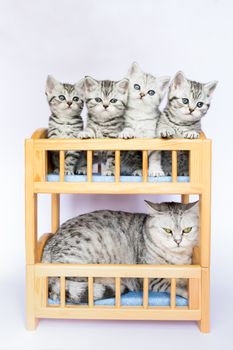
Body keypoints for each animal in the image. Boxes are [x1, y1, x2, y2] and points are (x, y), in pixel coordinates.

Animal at [42, 201, 198, 302]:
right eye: (167, 230)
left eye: (187, 230)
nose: (178, 241)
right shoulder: (151, 278)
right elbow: (173, 284)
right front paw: (187, 289)